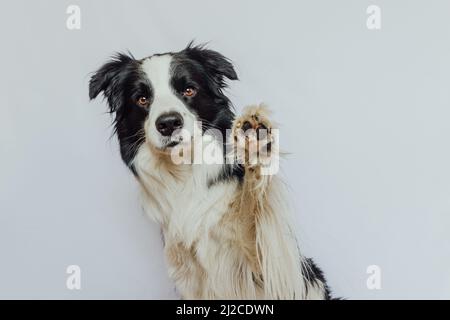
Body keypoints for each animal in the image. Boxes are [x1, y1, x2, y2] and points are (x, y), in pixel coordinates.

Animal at [89, 43, 330, 300]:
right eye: (142, 99)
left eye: (189, 90)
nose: (168, 123)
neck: (184, 169)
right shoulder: (186, 271)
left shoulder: (271, 266)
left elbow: (254, 216)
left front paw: (254, 142)